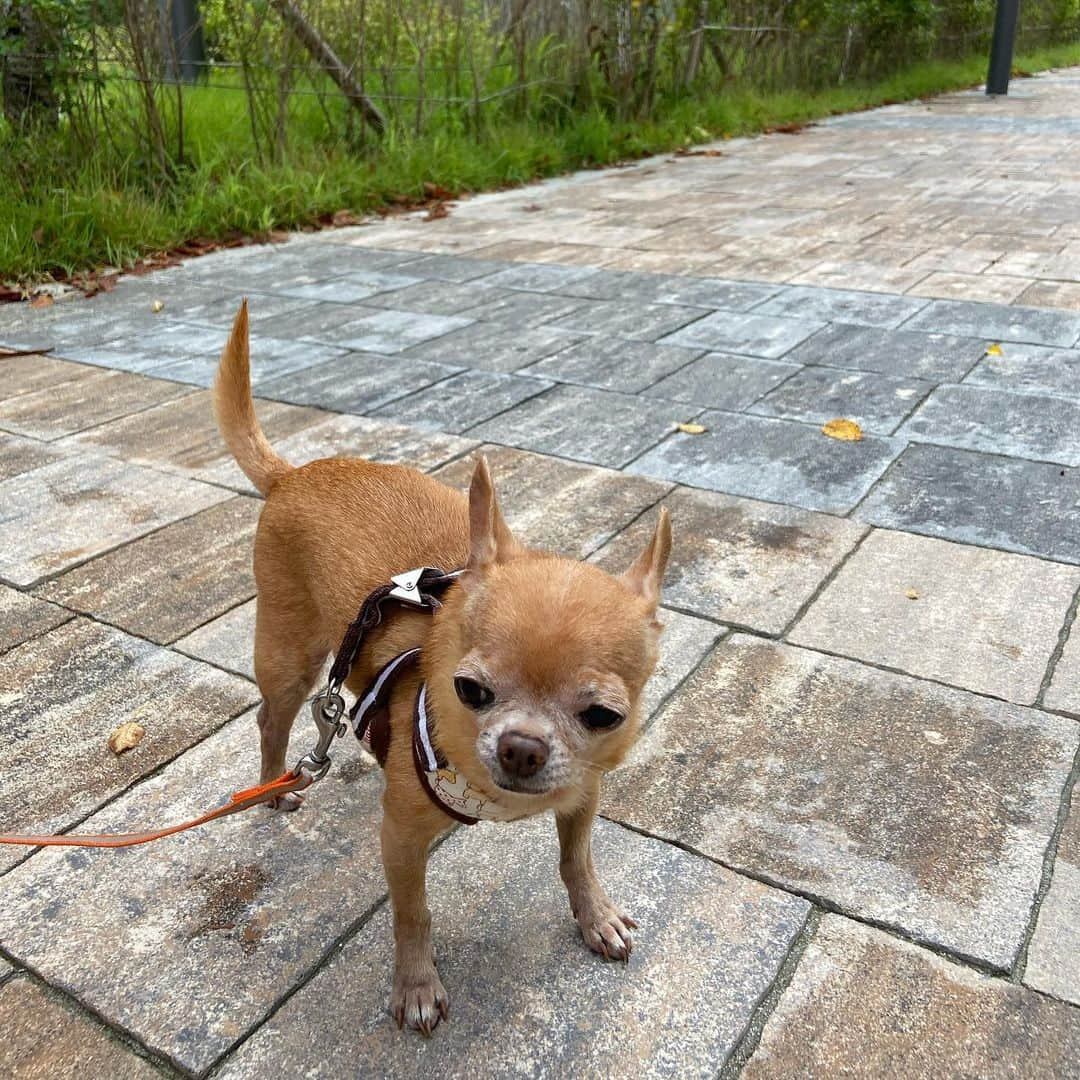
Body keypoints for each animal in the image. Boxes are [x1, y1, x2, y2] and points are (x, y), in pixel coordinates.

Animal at [211, 300, 669, 1032]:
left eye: (603, 716)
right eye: (468, 690)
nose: (521, 748)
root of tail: (293, 474)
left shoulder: (582, 795)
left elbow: (576, 858)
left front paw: (594, 916)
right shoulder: (400, 836)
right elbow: (412, 913)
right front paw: (417, 984)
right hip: (288, 655)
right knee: (270, 719)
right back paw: (274, 786)